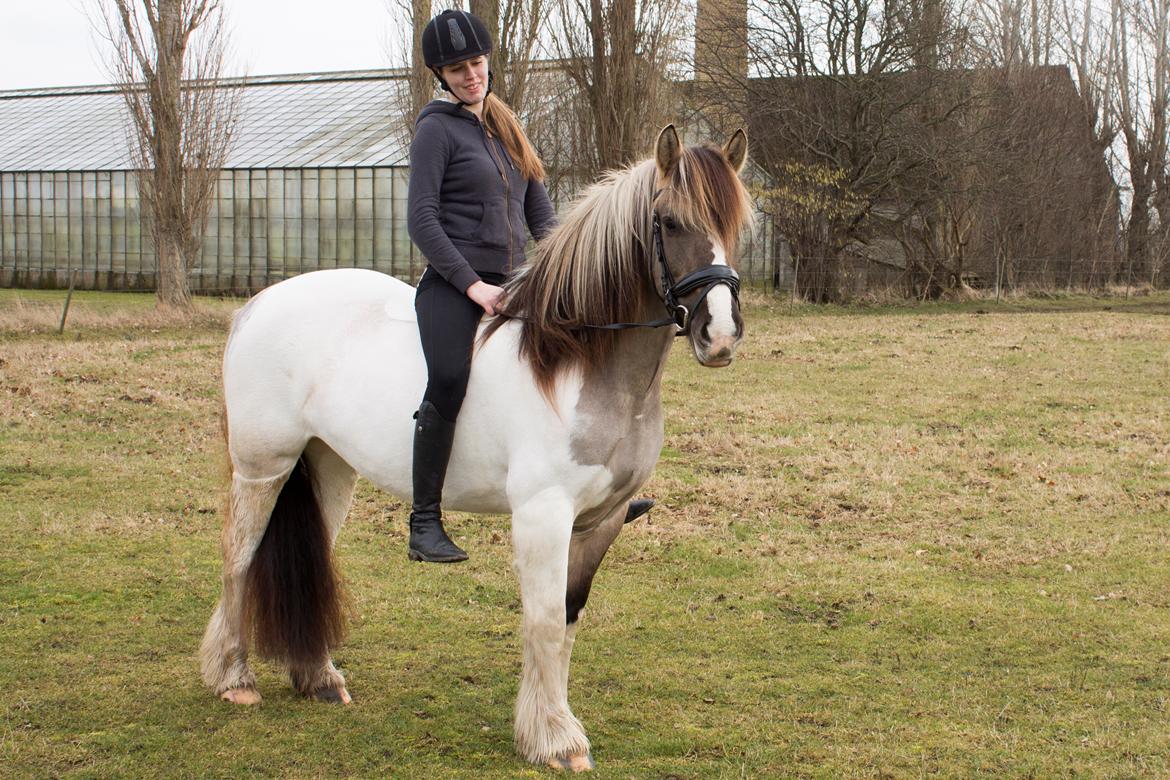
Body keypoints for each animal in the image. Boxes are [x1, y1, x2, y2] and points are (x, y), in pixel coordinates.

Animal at [197, 125, 753, 771]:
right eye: (667, 222)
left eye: (734, 226)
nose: (720, 336)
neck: (577, 361)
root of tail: (257, 305)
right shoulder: (543, 516)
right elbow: (543, 620)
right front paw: (555, 739)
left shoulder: (603, 520)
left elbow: (568, 618)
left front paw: (548, 728)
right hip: (264, 467)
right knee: (239, 557)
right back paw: (233, 678)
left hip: (328, 468)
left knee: (309, 552)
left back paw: (317, 678)